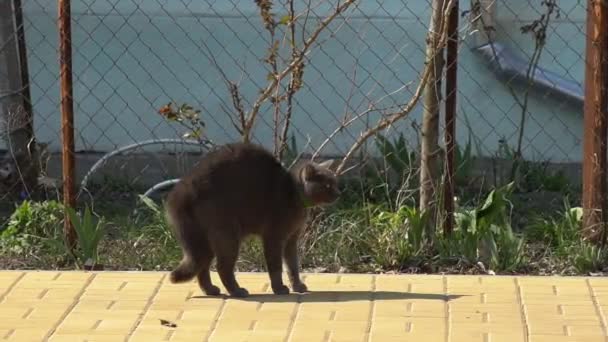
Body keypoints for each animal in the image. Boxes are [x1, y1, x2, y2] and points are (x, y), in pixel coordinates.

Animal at [164, 142, 340, 296]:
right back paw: (237, 291)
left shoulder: (292, 239)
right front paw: (279, 288)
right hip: (227, 234)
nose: (339, 193)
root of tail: (181, 191)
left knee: (203, 265)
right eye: (328, 185)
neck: (294, 194)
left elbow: (292, 266)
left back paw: (211, 290)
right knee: (221, 267)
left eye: (335, 182)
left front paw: (297, 286)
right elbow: (276, 266)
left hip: (205, 239)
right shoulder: (274, 236)